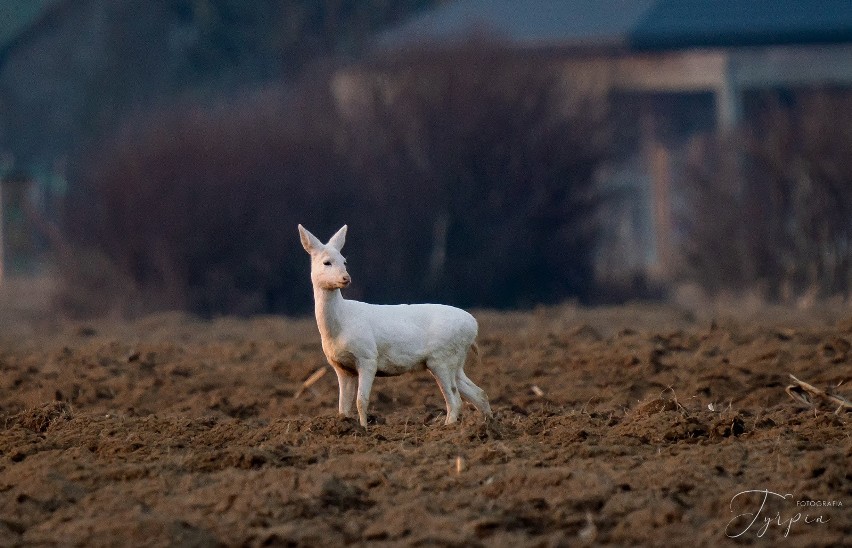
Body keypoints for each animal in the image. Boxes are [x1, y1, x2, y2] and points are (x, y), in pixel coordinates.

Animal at [298, 225, 492, 426]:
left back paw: (448, 427)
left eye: (344, 261)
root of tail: (474, 326)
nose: (346, 278)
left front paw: (364, 428)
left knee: (455, 401)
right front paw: (344, 425)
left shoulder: (368, 356)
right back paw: (489, 424)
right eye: (327, 262)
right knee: (479, 393)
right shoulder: (342, 367)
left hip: (442, 357)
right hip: (455, 360)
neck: (339, 325)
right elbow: (342, 406)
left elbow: (361, 401)